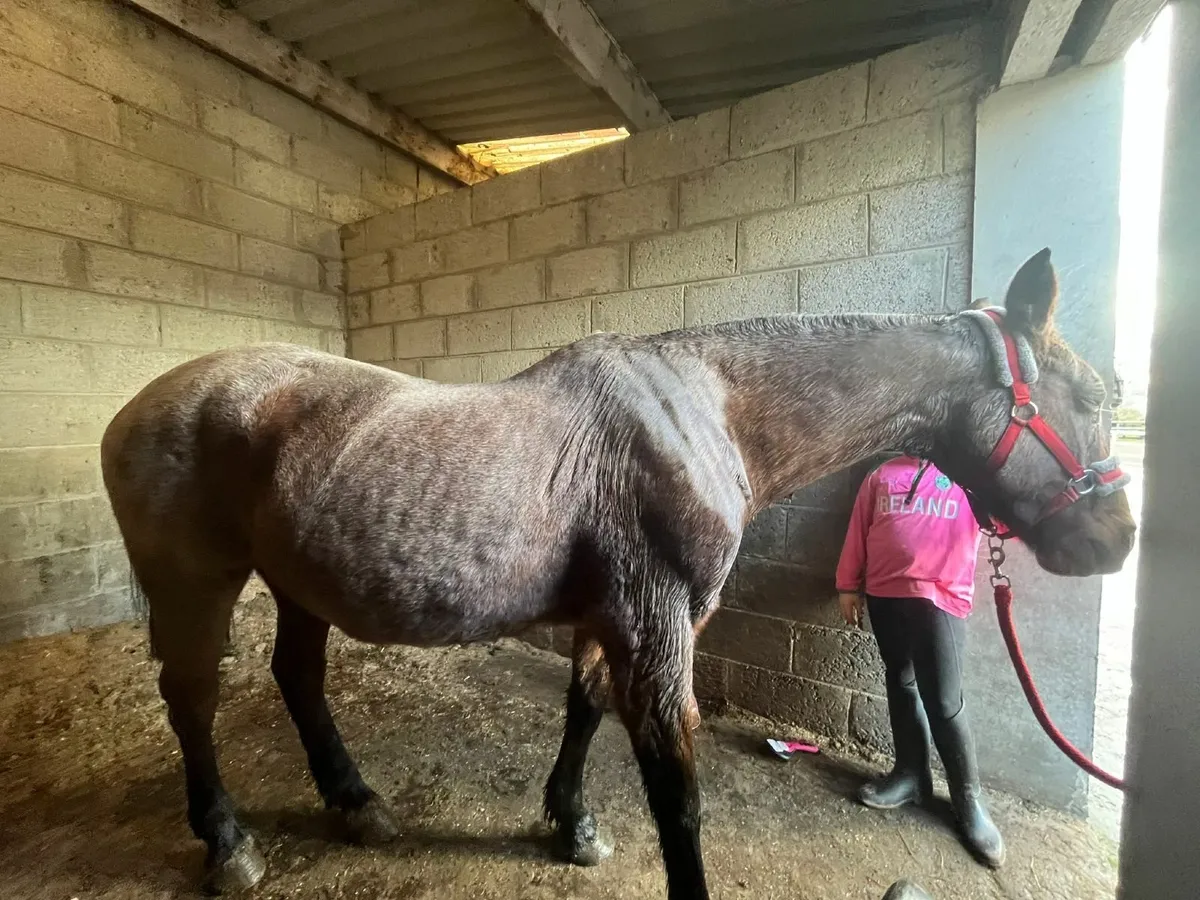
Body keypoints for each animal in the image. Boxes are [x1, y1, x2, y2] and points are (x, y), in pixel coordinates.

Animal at [99, 249, 1134, 899]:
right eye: (1092, 396)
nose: (1118, 539)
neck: (707, 413)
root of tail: (134, 409)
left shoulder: (617, 619)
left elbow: (586, 706)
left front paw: (571, 826)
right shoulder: (656, 625)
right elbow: (677, 795)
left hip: (298, 583)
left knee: (298, 678)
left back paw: (358, 806)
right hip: (197, 583)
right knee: (193, 698)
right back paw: (229, 844)